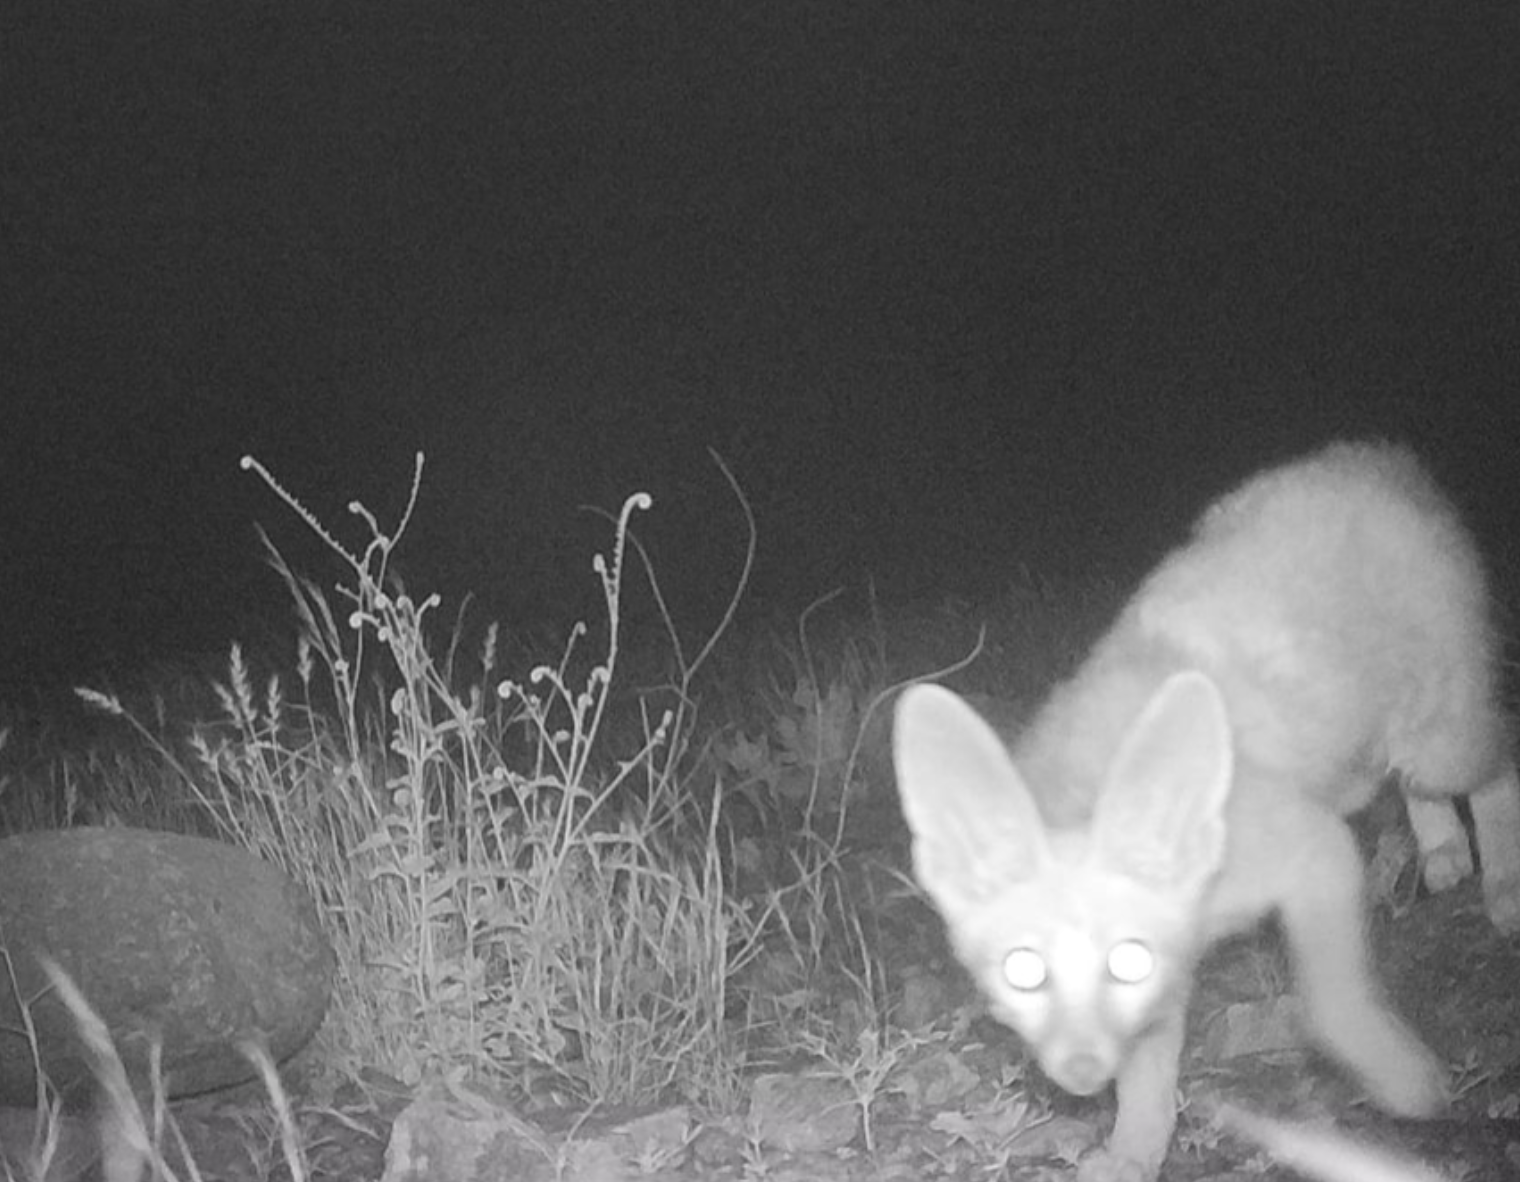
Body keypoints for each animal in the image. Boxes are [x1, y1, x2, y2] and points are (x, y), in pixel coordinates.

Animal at [892, 440, 1520, 1182]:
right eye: (1024, 973)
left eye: (1123, 960)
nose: (1079, 1072)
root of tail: (1370, 456)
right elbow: (1147, 1079)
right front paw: (1132, 1153)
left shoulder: (1315, 852)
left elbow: (1332, 999)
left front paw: (1402, 1080)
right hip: (1368, 743)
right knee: (1411, 780)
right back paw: (1444, 851)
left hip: (1437, 727)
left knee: (1495, 768)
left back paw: (1504, 887)